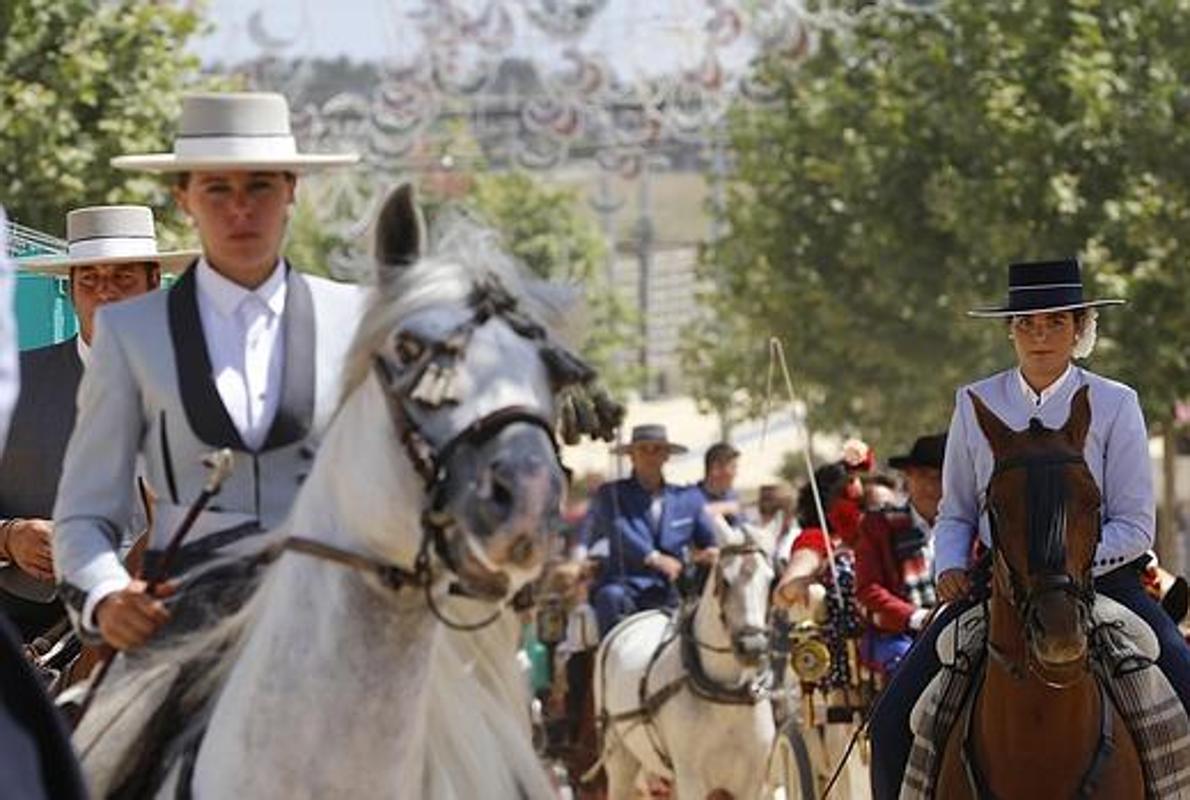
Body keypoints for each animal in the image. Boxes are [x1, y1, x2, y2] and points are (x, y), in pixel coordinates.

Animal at [595, 519, 780, 800]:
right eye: (725, 581)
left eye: (771, 581)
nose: (752, 646)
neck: (725, 695)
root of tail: (629, 620)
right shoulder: (691, 779)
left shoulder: (752, 782)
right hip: (620, 758)